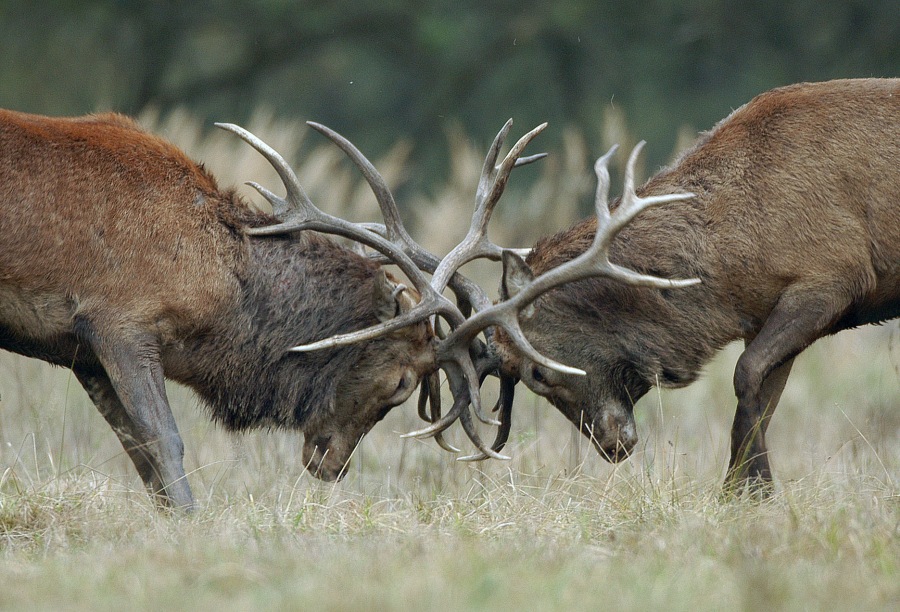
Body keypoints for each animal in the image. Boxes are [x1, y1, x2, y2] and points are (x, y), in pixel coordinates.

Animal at [294, 78, 899, 494]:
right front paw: (744, 497)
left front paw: (751, 493)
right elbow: (760, 397)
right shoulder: (770, 310)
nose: (613, 446)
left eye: (536, 372)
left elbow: (746, 377)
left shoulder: (832, 275)